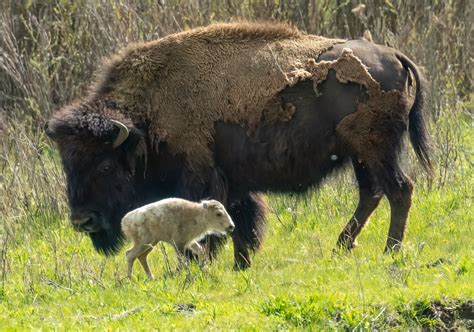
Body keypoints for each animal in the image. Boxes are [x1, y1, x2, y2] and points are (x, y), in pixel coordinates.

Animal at [46, 22, 432, 268]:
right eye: (67, 164)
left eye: (105, 164)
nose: (82, 220)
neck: (146, 119)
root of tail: (393, 56)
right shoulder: (236, 185)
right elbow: (243, 223)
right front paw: (240, 265)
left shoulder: (202, 179)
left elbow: (209, 225)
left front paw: (196, 265)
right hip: (361, 155)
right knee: (372, 193)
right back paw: (341, 248)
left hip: (375, 149)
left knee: (399, 189)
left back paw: (389, 251)